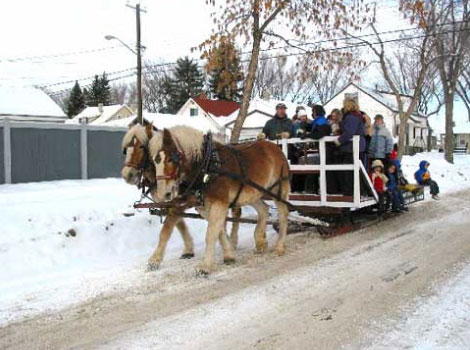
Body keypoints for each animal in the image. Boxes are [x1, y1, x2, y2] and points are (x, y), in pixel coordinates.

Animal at [121, 123, 241, 270]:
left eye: (141, 147)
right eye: (125, 149)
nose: (127, 175)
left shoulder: (179, 204)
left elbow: (166, 230)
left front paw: (155, 260)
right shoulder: (170, 204)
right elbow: (180, 225)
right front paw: (189, 249)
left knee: (236, 212)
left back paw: (233, 241)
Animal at [151, 126, 290, 276]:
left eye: (171, 158)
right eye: (155, 161)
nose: (163, 193)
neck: (207, 166)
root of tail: (275, 147)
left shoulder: (219, 203)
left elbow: (211, 233)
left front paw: (205, 267)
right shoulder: (204, 206)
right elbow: (218, 230)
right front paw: (229, 255)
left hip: (278, 189)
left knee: (283, 213)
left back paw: (279, 246)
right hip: (252, 192)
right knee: (263, 209)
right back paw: (260, 241)